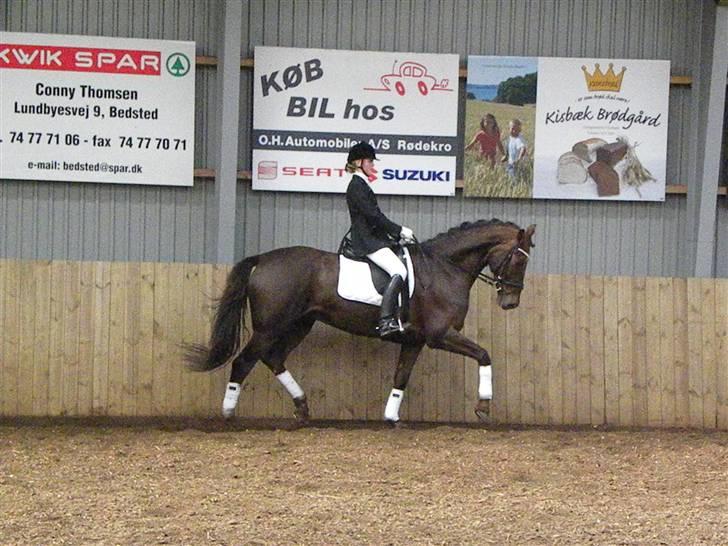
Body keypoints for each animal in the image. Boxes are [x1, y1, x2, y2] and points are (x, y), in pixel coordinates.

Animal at [182, 219, 536, 422]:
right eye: (519, 259)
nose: (511, 302)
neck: (444, 268)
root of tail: (262, 259)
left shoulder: (415, 340)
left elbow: (401, 377)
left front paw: (391, 416)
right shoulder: (440, 335)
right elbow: (484, 354)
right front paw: (484, 407)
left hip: (300, 324)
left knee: (273, 358)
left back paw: (302, 408)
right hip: (271, 326)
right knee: (244, 361)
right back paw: (229, 412)